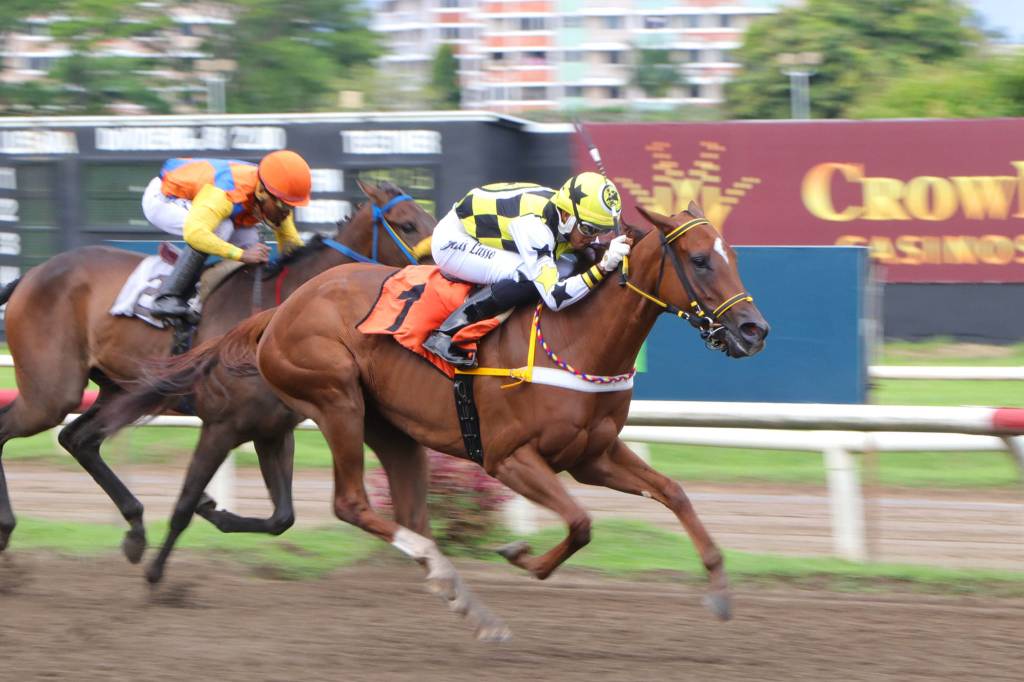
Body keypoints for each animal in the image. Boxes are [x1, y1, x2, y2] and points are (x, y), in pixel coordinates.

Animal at [0, 179, 435, 562]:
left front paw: (213, 510)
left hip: (116, 389)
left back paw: (135, 528)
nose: (439, 271)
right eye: (407, 224)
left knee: (79, 439)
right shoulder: (225, 420)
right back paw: (8, 527)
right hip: (52, 393)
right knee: (21, 428)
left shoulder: (273, 427)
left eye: (429, 217)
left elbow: (282, 518)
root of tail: (31, 275)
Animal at [247, 201, 769, 640]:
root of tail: (282, 309)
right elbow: (580, 522)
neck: (577, 336)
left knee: (413, 515)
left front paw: (719, 589)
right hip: (338, 399)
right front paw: (520, 555)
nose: (754, 330)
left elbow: (673, 492)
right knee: (351, 503)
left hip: (390, 426)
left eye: (733, 256)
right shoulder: (509, 458)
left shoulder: (592, 456)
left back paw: (464, 599)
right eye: (699, 260)